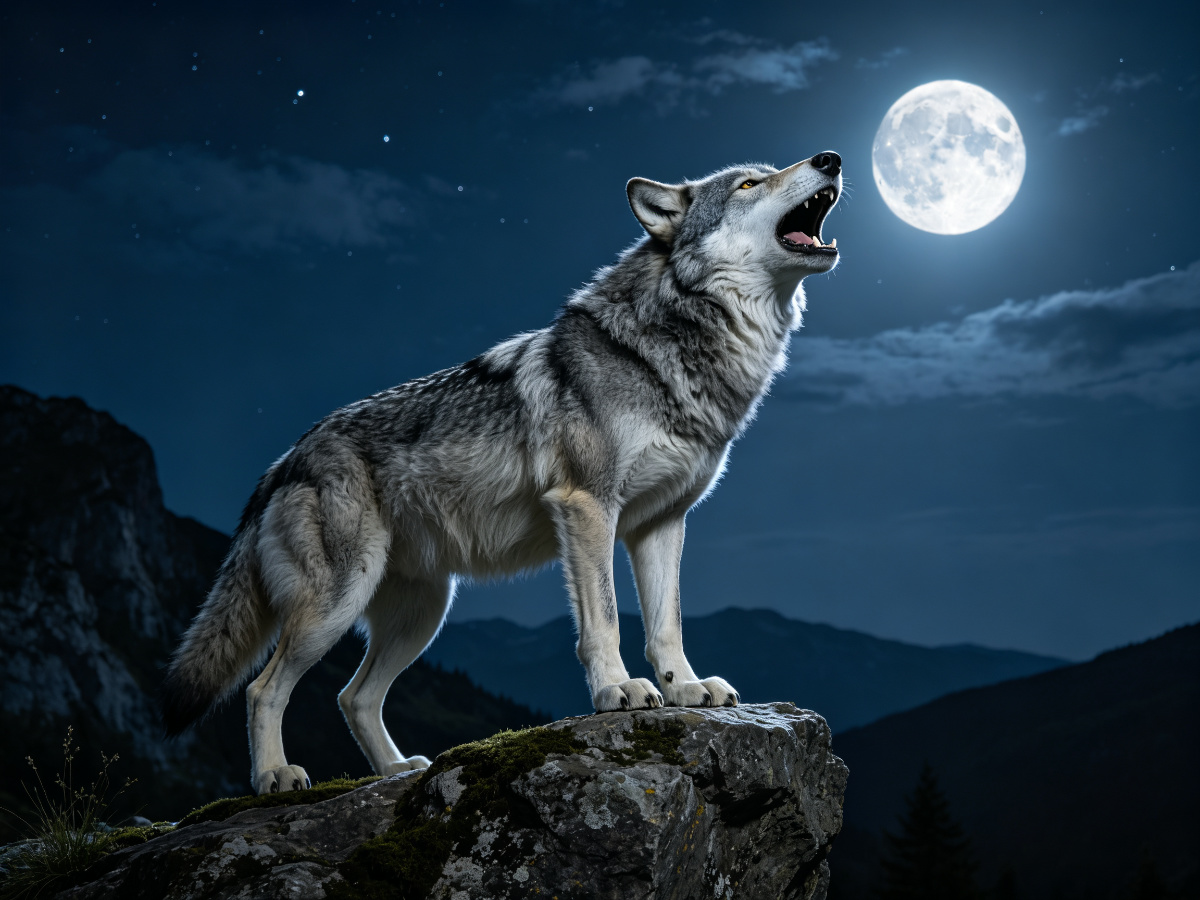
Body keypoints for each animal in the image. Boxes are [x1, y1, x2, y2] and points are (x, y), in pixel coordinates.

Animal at [162, 152, 843, 794]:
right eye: (749, 184)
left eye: (768, 171)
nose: (831, 159)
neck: (677, 345)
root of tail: (283, 461)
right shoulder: (587, 505)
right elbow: (604, 620)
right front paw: (618, 692)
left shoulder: (662, 523)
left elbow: (666, 623)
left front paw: (684, 689)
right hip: (335, 605)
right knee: (264, 689)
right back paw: (276, 777)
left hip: (423, 614)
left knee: (352, 696)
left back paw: (395, 770)